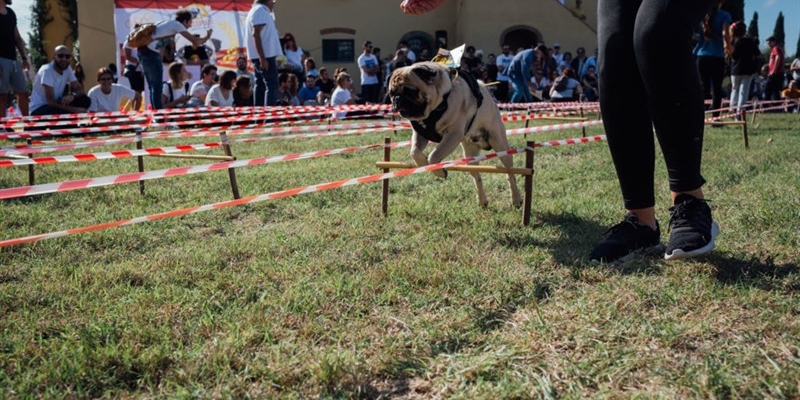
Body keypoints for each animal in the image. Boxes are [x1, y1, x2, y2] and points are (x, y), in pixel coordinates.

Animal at [390, 61, 524, 209]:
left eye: (409, 91)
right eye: (391, 93)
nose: (396, 99)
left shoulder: (452, 135)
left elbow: (434, 156)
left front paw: (439, 171)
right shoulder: (420, 134)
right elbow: (414, 152)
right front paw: (424, 164)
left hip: (500, 144)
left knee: (510, 173)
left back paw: (516, 199)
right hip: (470, 157)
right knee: (477, 177)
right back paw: (482, 200)